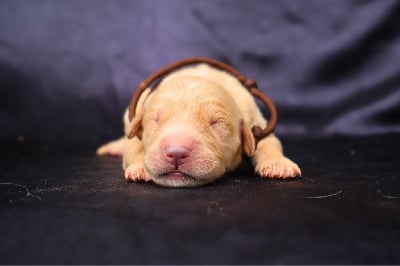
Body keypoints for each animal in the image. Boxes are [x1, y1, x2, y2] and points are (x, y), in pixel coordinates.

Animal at [98, 63, 302, 187]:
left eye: (216, 123)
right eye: (155, 120)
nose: (176, 153)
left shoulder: (256, 122)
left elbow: (270, 142)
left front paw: (278, 164)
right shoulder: (137, 126)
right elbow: (133, 146)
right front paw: (140, 167)